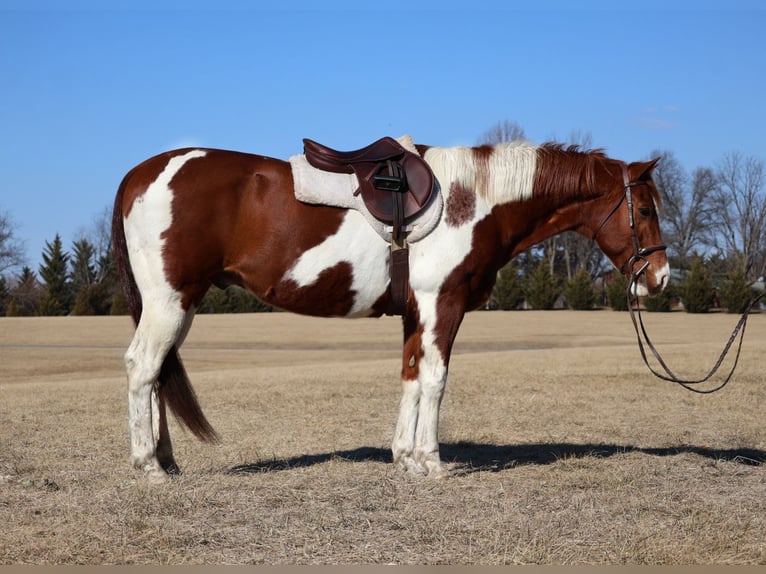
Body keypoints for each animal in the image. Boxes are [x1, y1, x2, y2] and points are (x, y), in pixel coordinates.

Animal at [111, 138, 668, 482]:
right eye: (644, 209)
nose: (659, 277)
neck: (474, 201)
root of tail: (139, 173)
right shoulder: (443, 302)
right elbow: (436, 379)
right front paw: (432, 462)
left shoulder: (415, 311)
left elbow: (410, 376)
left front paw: (405, 459)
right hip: (169, 301)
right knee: (142, 368)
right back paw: (147, 465)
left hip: (179, 304)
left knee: (158, 373)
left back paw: (165, 459)